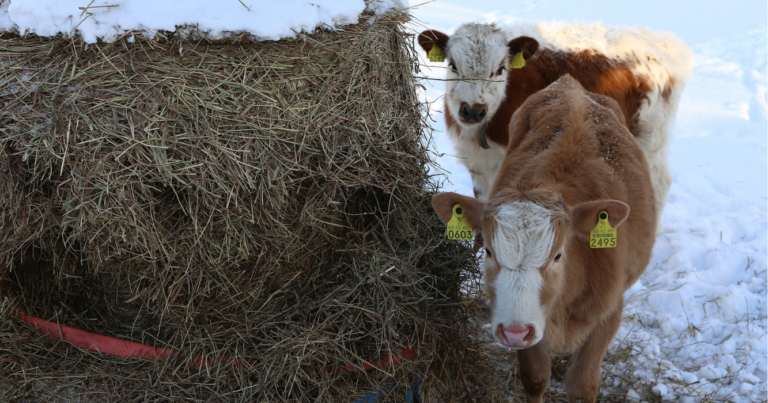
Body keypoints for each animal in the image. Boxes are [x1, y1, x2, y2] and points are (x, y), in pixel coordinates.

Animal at [416, 22, 692, 229]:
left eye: (500, 69)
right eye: (453, 65)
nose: (473, 110)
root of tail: (666, 41)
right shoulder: (479, 167)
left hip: (650, 135)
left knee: (659, 182)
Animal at [432, 75, 656, 400]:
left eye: (558, 255)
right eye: (488, 252)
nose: (514, 332)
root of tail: (571, 86)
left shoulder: (609, 311)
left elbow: (582, 385)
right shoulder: (525, 324)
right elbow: (535, 377)